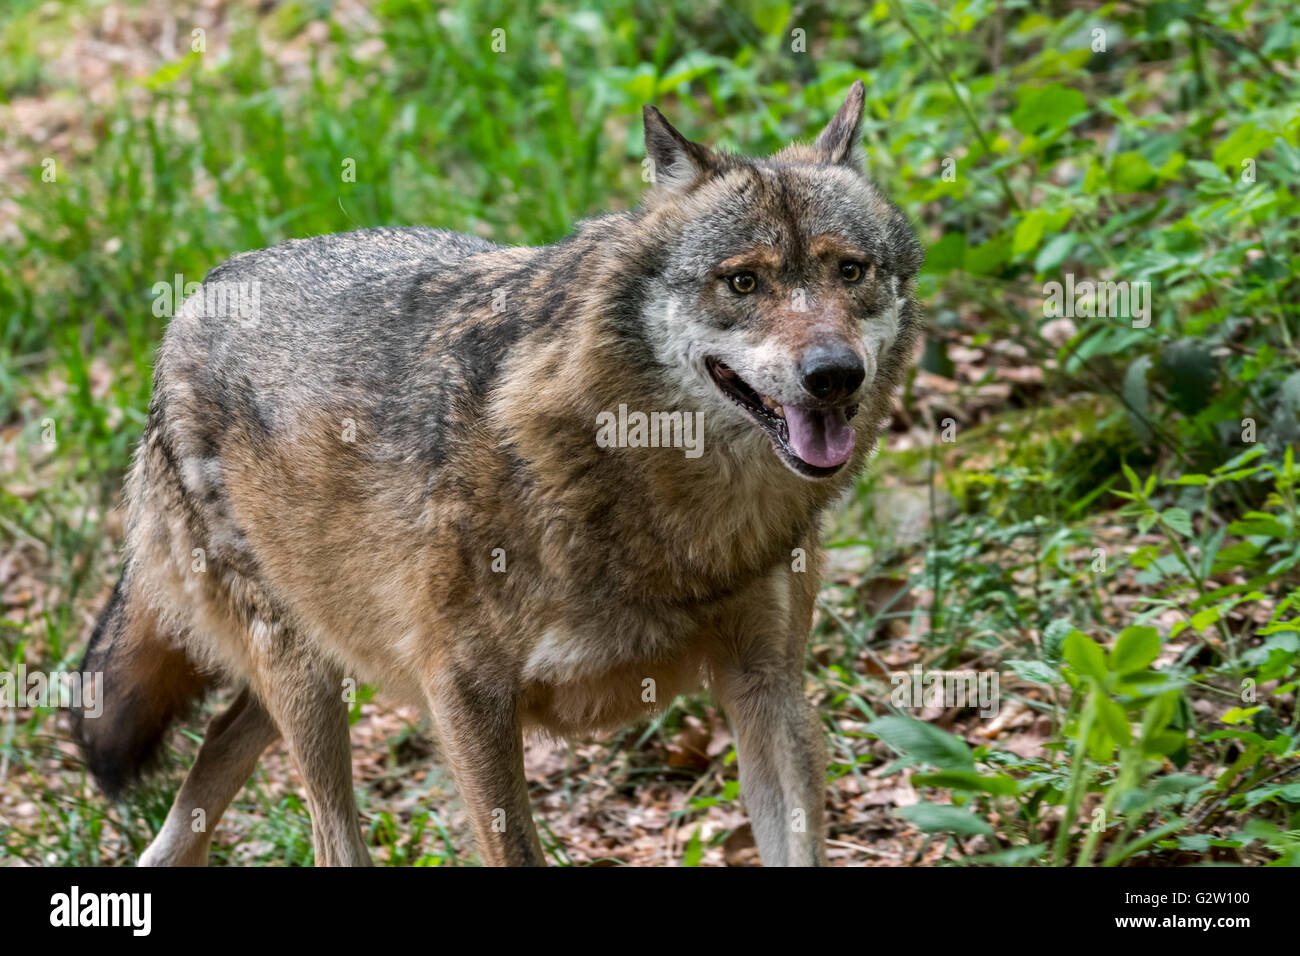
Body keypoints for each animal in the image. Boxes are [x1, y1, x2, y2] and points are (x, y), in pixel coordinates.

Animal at [72, 80, 923, 866]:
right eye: (743, 281)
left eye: (851, 271)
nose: (833, 375)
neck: (666, 500)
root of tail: (202, 291)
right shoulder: (466, 696)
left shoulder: (769, 688)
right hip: (305, 680)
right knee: (327, 837)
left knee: (214, 755)